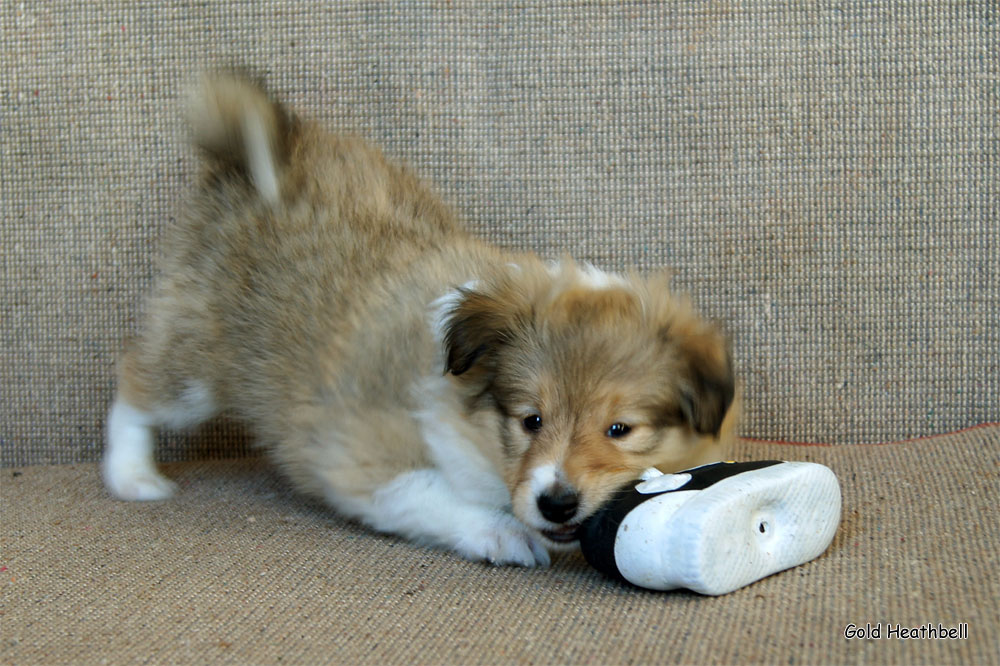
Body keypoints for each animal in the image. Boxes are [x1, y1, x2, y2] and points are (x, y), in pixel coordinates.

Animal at [105, 76, 740, 564]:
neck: (473, 425)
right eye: (530, 420)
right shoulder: (357, 456)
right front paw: (502, 532)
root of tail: (268, 160)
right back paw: (133, 477)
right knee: (134, 384)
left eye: (620, 429)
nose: (557, 504)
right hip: (197, 362)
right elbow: (431, 490)